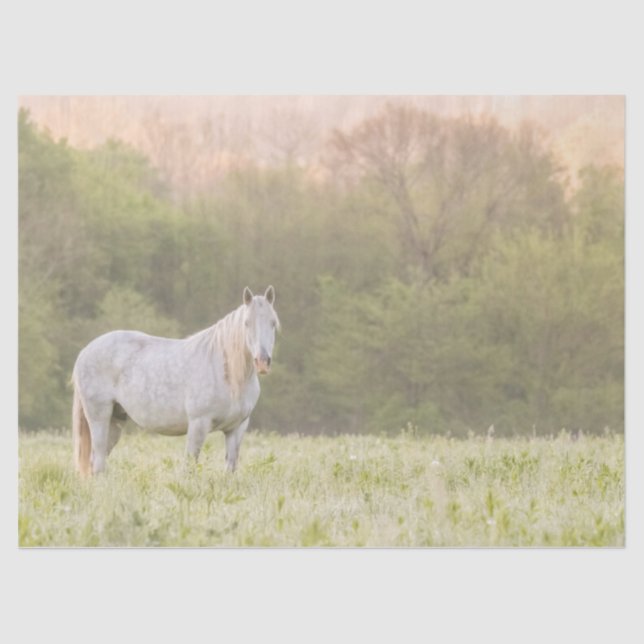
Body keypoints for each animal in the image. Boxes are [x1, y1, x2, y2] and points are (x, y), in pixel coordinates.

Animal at [71, 286, 279, 476]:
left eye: (273, 323)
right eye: (247, 323)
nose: (262, 362)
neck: (228, 374)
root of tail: (85, 352)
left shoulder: (237, 428)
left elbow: (230, 469)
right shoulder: (198, 424)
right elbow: (190, 466)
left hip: (116, 420)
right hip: (99, 417)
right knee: (98, 462)